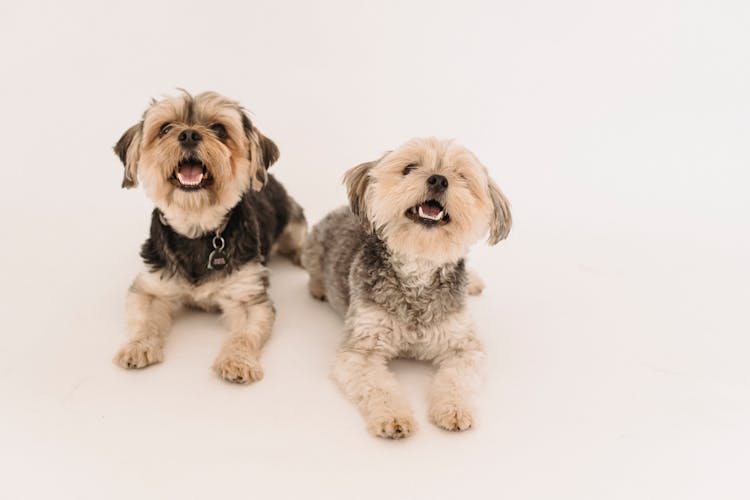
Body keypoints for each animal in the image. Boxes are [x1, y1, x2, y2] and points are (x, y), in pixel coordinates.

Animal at [111, 91, 306, 382]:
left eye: (219, 129)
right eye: (165, 129)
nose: (189, 134)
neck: (197, 229)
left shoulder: (248, 296)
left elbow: (244, 335)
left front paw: (238, 360)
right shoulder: (151, 287)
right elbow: (144, 320)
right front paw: (138, 346)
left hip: (292, 218)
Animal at [302, 137, 516, 438]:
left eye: (461, 176)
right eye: (409, 167)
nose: (438, 179)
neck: (418, 269)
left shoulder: (465, 346)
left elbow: (456, 380)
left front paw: (454, 409)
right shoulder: (361, 350)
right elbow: (379, 387)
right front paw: (393, 417)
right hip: (312, 248)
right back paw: (319, 287)